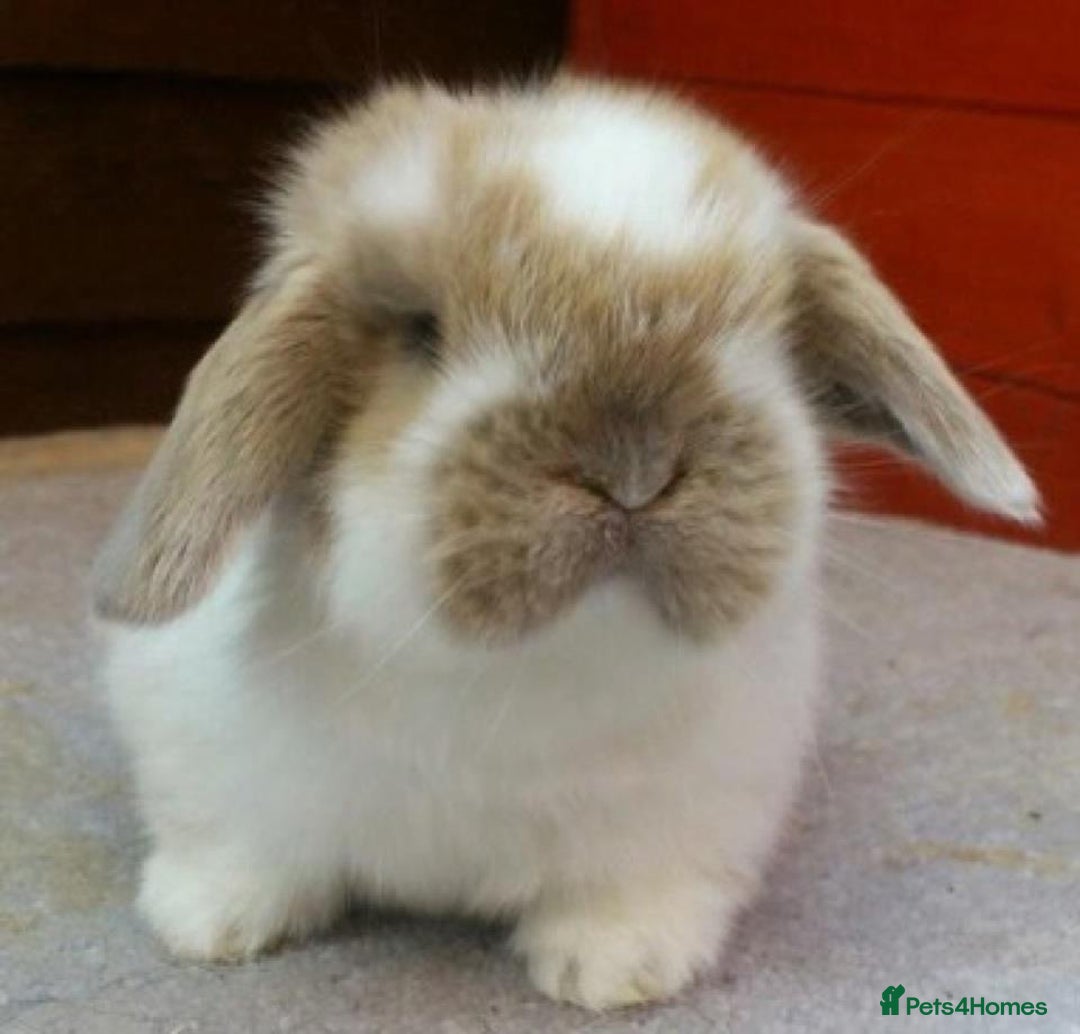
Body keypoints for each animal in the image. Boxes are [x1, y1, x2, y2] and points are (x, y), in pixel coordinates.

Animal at [92, 76, 1038, 1010]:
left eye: (761, 336)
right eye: (421, 331)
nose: (634, 469)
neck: (519, 679)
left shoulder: (693, 814)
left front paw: (614, 970)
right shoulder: (208, 763)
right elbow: (238, 846)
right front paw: (205, 924)